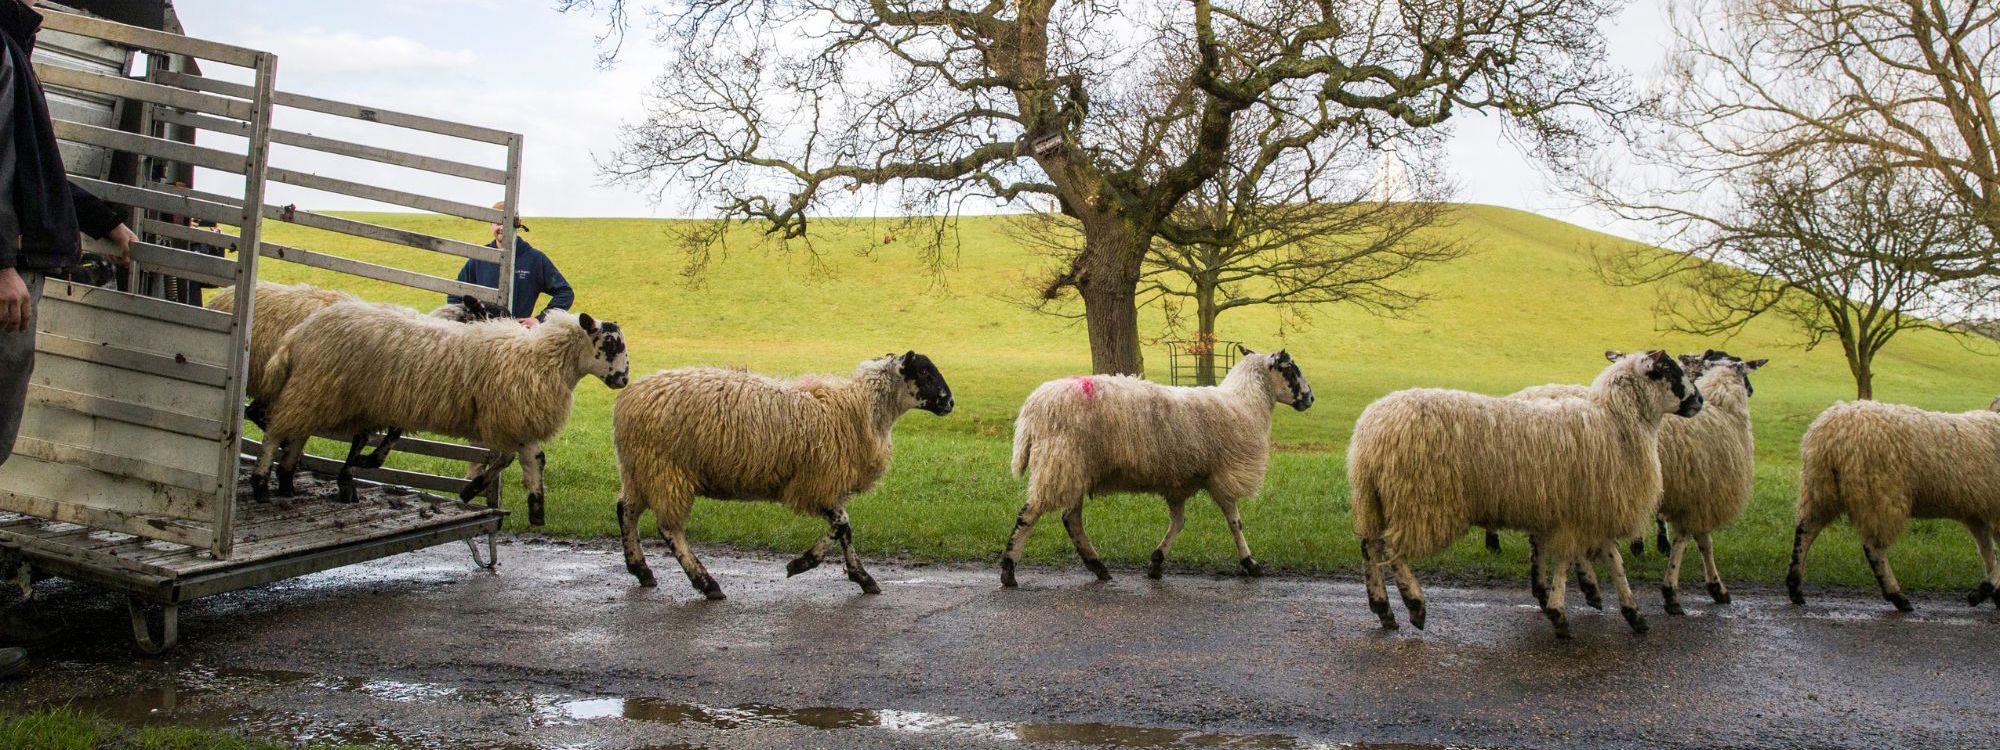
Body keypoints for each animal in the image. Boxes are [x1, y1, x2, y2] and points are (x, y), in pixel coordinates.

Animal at [250, 302, 628, 508]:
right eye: (610, 344)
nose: (624, 380)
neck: (541, 357)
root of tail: (299, 333)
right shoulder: (506, 419)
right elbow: (508, 458)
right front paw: (472, 490)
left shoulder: (513, 422)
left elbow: (522, 460)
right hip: (317, 388)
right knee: (276, 431)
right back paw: (261, 484)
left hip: (318, 391)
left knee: (296, 430)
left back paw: (286, 481)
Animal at [608, 356, 952, 604]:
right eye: (925, 372)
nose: (950, 403)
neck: (859, 407)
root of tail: (627, 400)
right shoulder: (815, 485)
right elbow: (841, 525)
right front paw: (802, 564)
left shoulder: (829, 486)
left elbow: (845, 530)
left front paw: (863, 577)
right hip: (666, 469)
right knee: (670, 530)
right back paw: (706, 583)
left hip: (639, 469)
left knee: (626, 510)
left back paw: (641, 569)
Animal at [1000, 350, 1312, 592]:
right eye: (1291, 369)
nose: (1310, 399)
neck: (1246, 402)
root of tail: (1032, 408)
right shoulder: (1222, 475)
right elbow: (1235, 522)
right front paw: (1250, 563)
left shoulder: (1180, 482)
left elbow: (1178, 522)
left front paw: (1156, 563)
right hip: (1061, 462)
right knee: (1030, 514)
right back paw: (1009, 570)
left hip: (1073, 467)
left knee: (1071, 518)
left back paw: (1098, 566)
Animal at [1344, 352, 1704, 640]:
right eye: (1669, 370)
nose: (1699, 400)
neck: (1616, 423)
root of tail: (1370, 431)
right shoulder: (1576, 514)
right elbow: (1568, 560)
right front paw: (1559, 615)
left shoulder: (1590, 510)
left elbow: (1613, 561)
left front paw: (1633, 613)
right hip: (1420, 501)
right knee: (1393, 550)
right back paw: (1414, 604)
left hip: (1374, 497)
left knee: (1369, 544)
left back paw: (1383, 609)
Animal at [1784, 400, 2000, 612]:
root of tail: (1829, 433)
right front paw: (1984, 590)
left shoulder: (1978, 513)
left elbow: (1988, 552)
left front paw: (1993, 592)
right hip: (1880, 492)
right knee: (1874, 548)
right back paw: (1897, 596)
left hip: (1819, 488)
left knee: (1805, 531)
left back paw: (1795, 587)